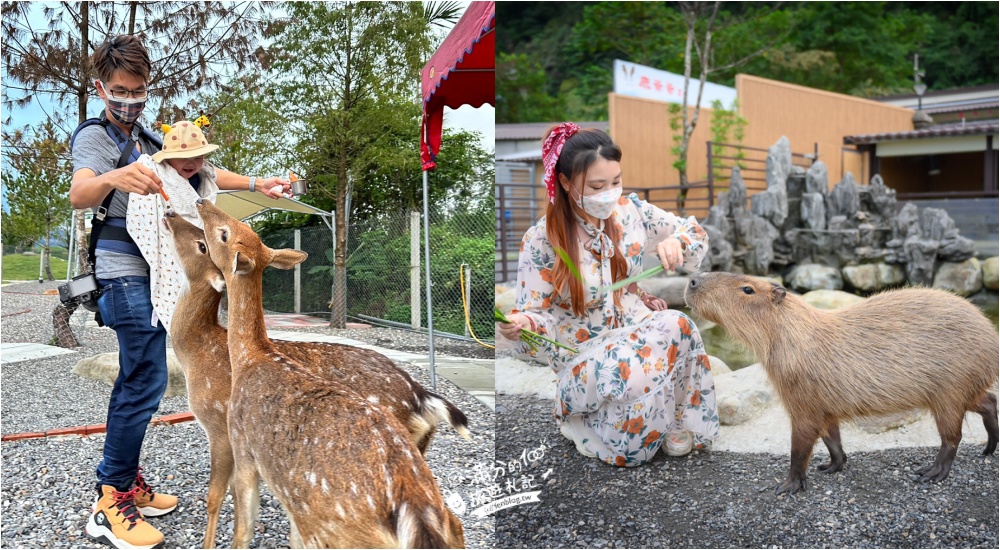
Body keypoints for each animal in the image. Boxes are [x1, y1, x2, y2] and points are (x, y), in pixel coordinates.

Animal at [164, 210, 472, 548]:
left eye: (204, 243)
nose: (171, 212)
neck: (199, 352)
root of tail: (421, 397)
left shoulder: (222, 428)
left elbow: (219, 499)